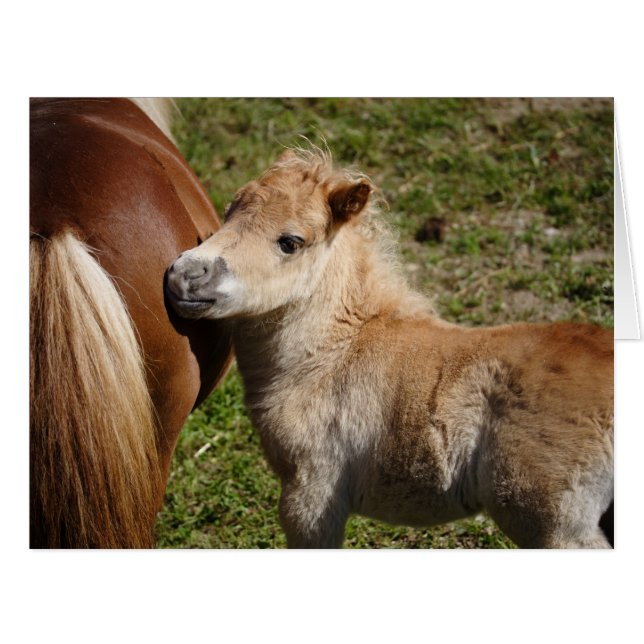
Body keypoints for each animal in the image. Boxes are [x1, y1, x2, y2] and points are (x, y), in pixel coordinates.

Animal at [165, 147, 614, 549]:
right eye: (229, 212)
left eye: (290, 242)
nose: (183, 275)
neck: (331, 357)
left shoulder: (312, 492)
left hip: (556, 525)